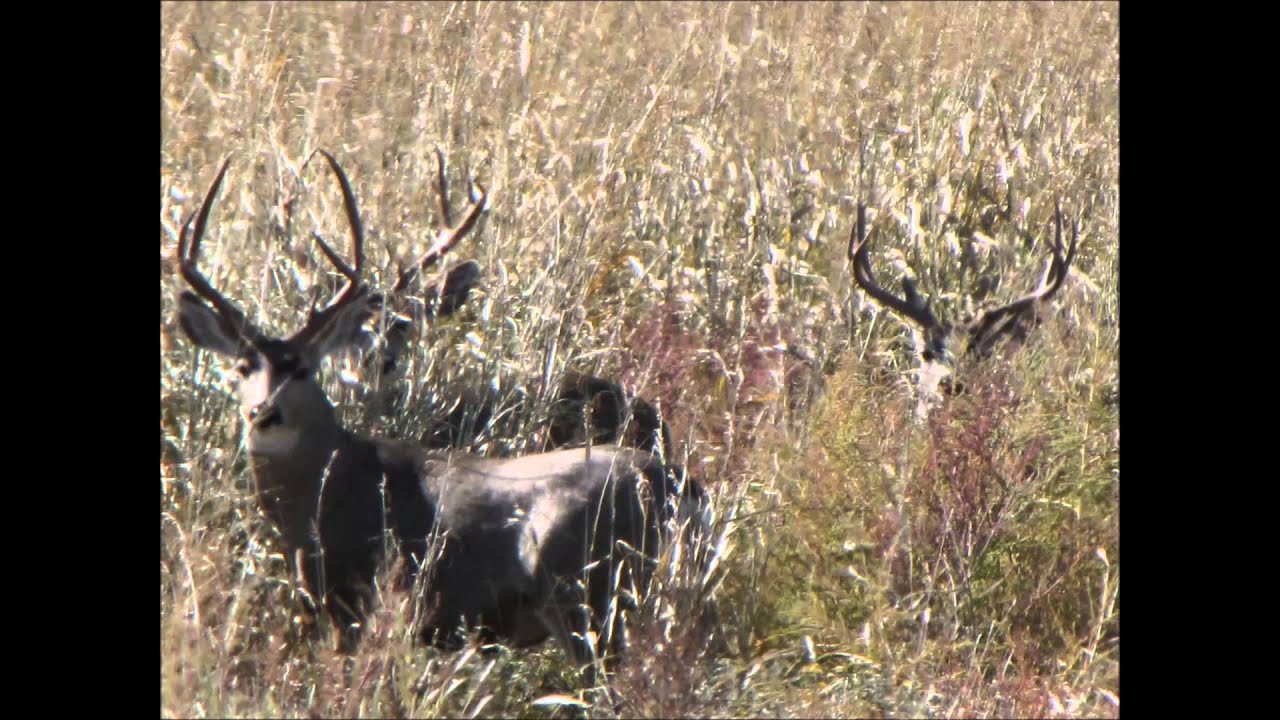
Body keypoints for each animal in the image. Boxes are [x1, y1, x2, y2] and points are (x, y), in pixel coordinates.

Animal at [173, 151, 708, 668]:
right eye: (243, 367)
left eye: (302, 368)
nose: (264, 412)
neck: (331, 481)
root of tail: (679, 486)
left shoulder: (351, 598)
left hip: (589, 596)